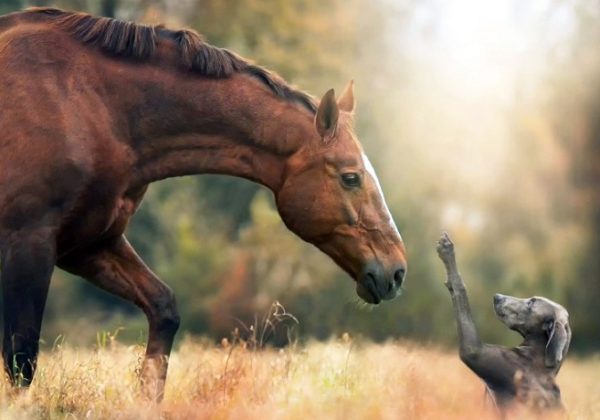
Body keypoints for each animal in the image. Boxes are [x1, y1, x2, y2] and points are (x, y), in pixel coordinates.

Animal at [0, 7, 408, 400]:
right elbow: (22, 360)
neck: (89, 103)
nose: (396, 271)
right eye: (350, 177)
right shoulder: (30, 243)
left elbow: (164, 310)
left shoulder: (88, 244)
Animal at [436, 231, 572, 412]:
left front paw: (447, 251)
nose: (497, 297)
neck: (539, 357)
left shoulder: (477, 352)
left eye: (531, 303)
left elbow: (459, 288)